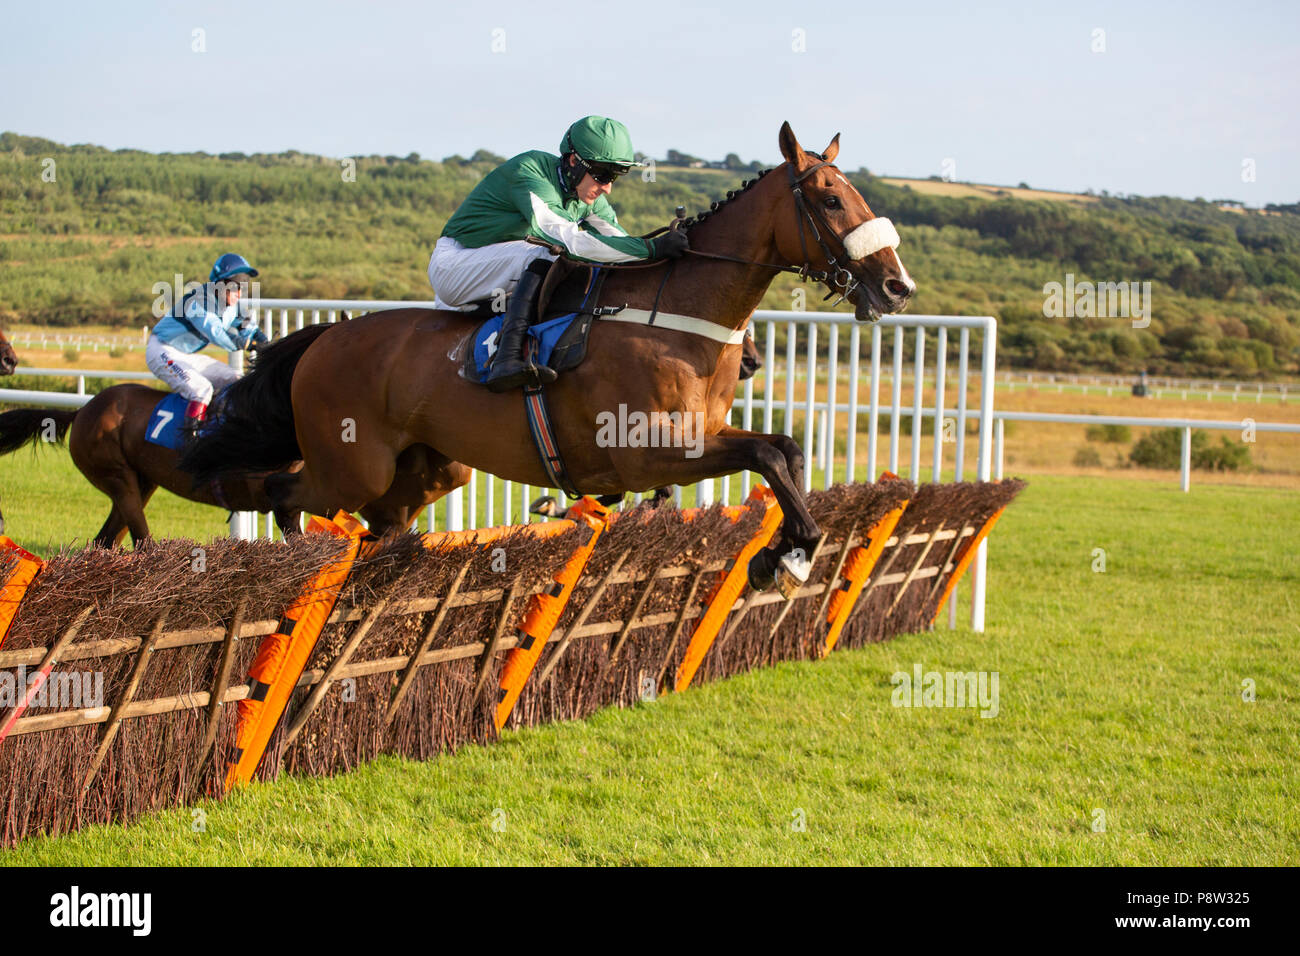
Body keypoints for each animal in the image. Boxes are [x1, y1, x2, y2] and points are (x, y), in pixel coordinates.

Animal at [185, 123, 915, 595]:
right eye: (830, 198)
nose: (896, 286)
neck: (678, 318)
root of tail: (325, 338)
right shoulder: (649, 450)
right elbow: (766, 454)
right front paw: (787, 556)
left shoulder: (698, 435)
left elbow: (784, 451)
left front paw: (787, 553)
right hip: (352, 467)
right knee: (283, 495)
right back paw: (302, 567)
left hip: (424, 474)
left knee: (379, 529)